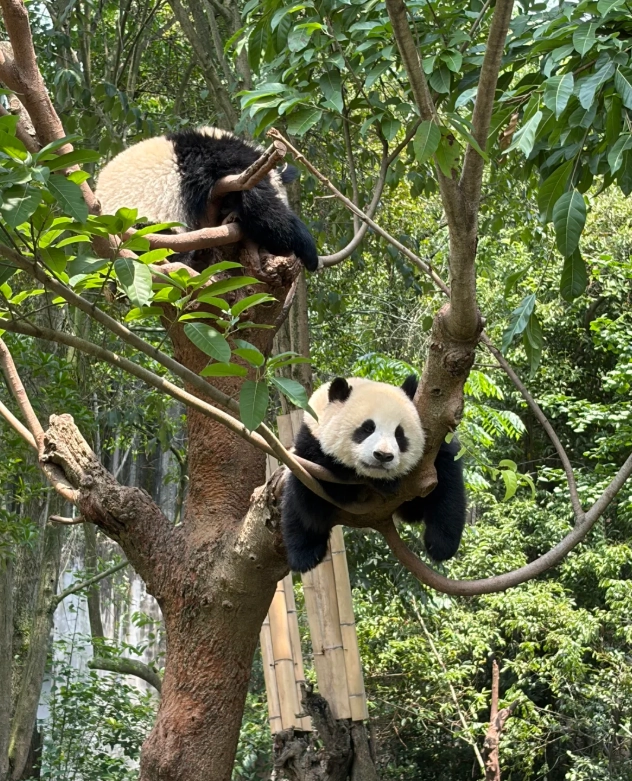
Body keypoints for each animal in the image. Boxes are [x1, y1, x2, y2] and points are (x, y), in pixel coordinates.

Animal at [281, 375, 467, 573]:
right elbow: (322, 490)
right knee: (297, 510)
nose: (383, 455)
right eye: (367, 429)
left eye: (399, 434)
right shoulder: (310, 443)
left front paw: (441, 545)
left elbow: (447, 485)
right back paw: (305, 556)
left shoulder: (435, 454)